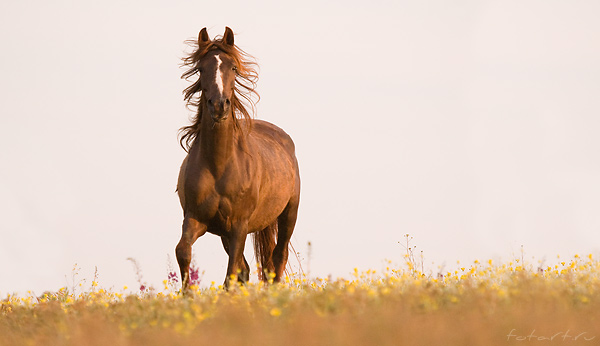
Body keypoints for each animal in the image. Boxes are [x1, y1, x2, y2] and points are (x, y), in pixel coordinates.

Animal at [176, 27, 302, 290]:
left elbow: (230, 273)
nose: (219, 106)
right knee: (249, 268)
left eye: (233, 67)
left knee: (278, 258)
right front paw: (188, 295)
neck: (219, 165)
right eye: (201, 69)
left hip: (288, 215)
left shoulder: (238, 227)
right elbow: (183, 251)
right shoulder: (196, 219)